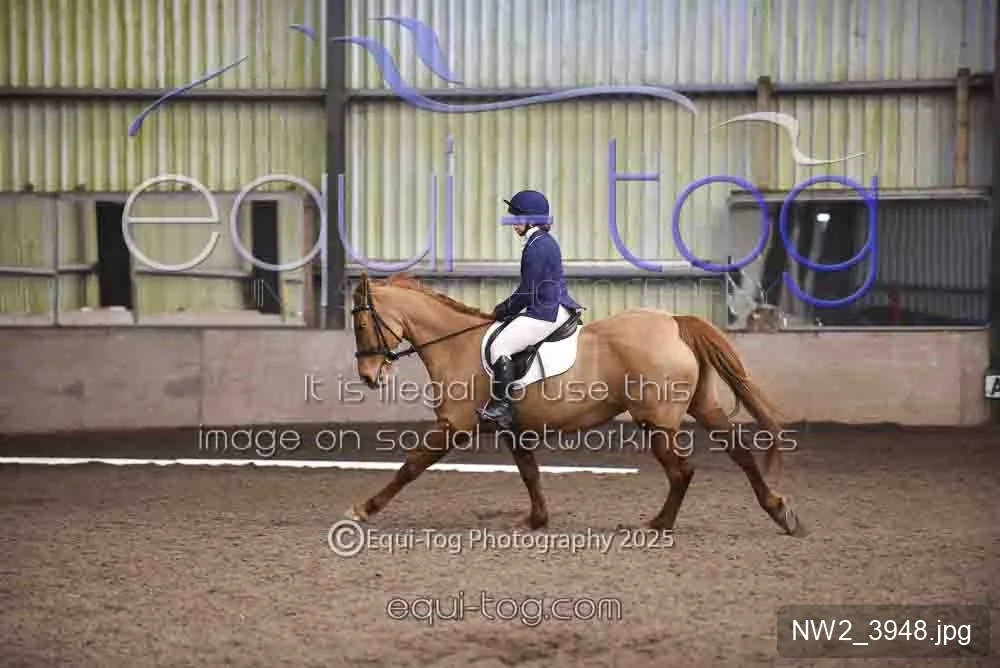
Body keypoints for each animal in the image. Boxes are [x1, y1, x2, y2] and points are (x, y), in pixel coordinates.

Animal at [344, 271, 804, 537]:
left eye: (362, 322)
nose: (369, 376)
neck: (457, 344)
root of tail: (673, 323)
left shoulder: (453, 425)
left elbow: (410, 467)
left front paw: (363, 509)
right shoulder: (513, 429)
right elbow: (530, 473)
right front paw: (536, 521)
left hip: (656, 421)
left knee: (682, 471)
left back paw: (659, 525)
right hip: (701, 407)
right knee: (740, 453)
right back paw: (780, 512)